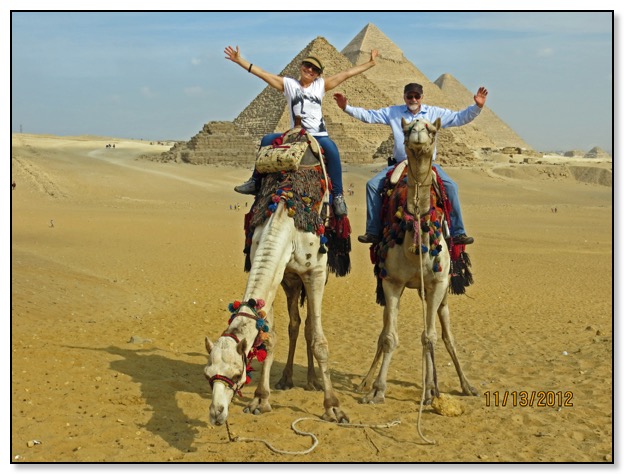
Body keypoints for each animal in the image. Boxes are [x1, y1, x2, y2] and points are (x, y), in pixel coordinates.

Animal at [207, 132, 348, 426]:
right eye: (208, 372)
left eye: (236, 373)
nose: (216, 413)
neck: (285, 210)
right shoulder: (271, 272)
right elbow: (269, 337)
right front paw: (260, 399)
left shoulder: (315, 273)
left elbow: (319, 340)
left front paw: (332, 407)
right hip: (290, 280)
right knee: (295, 324)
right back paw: (286, 379)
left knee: (308, 326)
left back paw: (312, 381)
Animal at [356, 117, 478, 404]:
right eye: (408, 128)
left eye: (432, 130)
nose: (419, 134)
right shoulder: (391, 282)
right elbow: (389, 338)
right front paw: (377, 389)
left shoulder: (438, 283)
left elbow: (430, 337)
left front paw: (432, 391)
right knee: (386, 332)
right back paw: (367, 381)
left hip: (441, 290)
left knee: (444, 336)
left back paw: (457, 386)